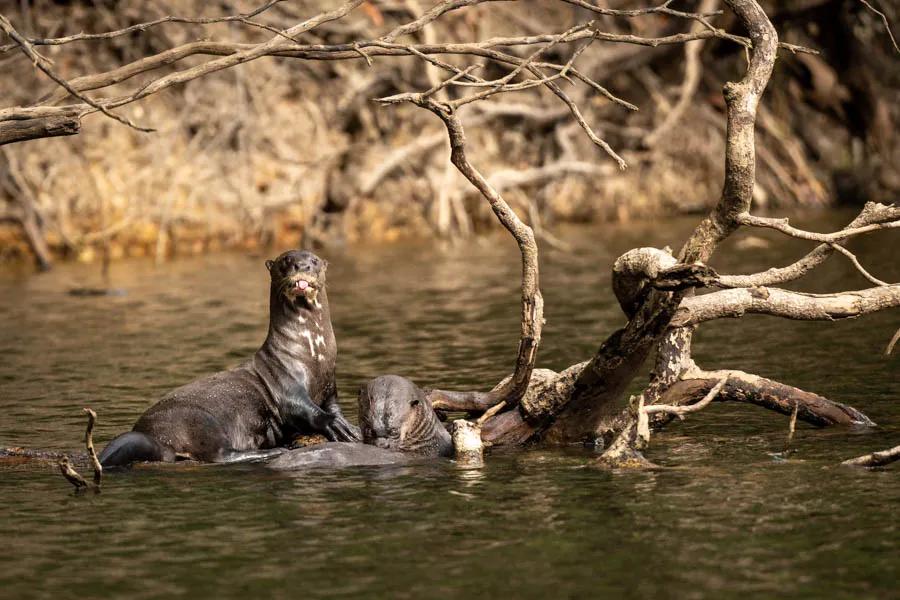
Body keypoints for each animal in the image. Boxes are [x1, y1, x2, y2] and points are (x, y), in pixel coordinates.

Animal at [100, 248, 360, 468]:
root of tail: (151, 435)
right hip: (201, 420)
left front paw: (349, 426)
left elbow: (334, 407)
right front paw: (333, 424)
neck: (313, 352)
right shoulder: (287, 386)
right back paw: (272, 451)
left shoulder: (330, 385)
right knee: (219, 455)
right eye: (286, 261)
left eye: (314, 261)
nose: (302, 266)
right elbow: (303, 410)